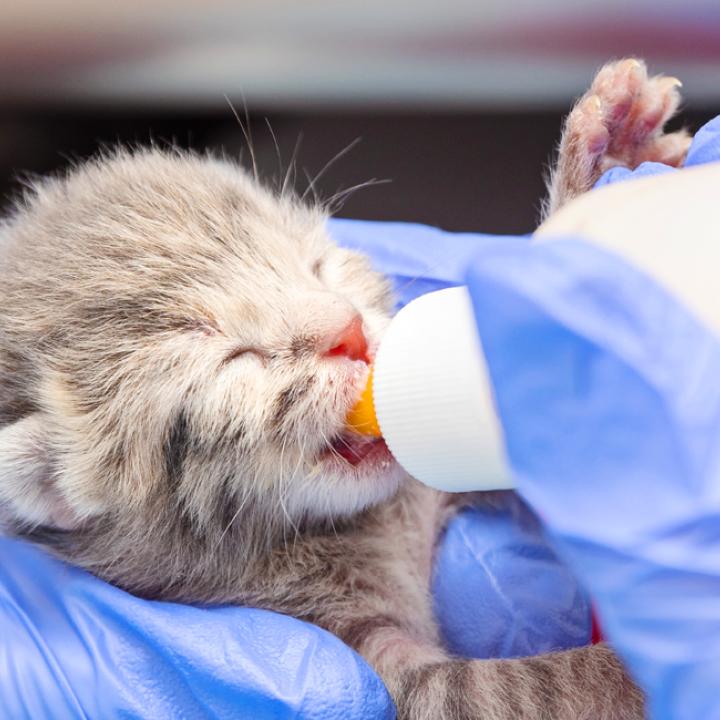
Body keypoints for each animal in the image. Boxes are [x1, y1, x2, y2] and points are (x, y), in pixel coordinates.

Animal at [0, 59, 688, 716]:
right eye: (237, 357)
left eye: (319, 267)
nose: (349, 330)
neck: (362, 528)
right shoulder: (372, 661)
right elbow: (529, 690)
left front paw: (605, 169)